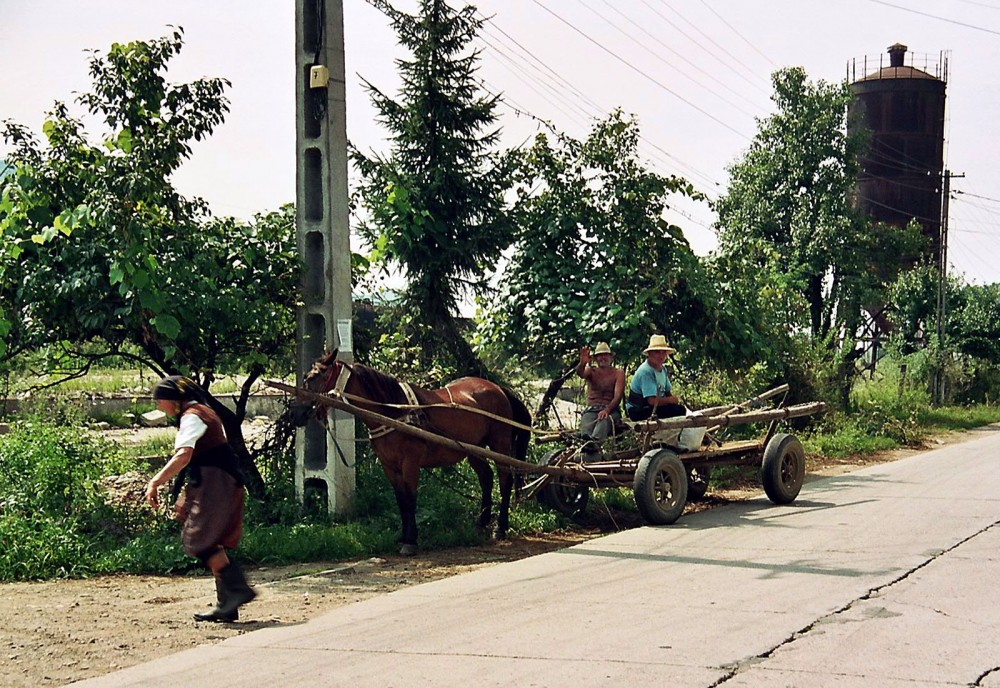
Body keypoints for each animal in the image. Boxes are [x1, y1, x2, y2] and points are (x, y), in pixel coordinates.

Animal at [294, 352, 532, 556]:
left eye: (313, 377)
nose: (295, 413)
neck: (393, 412)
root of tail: (498, 388)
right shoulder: (389, 466)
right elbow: (401, 500)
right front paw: (404, 536)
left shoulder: (410, 463)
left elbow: (410, 498)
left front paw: (411, 541)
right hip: (474, 448)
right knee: (486, 478)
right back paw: (481, 523)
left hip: (499, 442)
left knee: (504, 479)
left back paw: (500, 527)